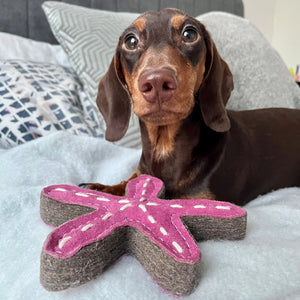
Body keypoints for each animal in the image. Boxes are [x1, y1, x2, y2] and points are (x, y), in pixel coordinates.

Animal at [85, 9, 298, 206]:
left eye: (189, 34)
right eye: (130, 41)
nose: (156, 82)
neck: (164, 146)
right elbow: (130, 180)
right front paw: (105, 187)